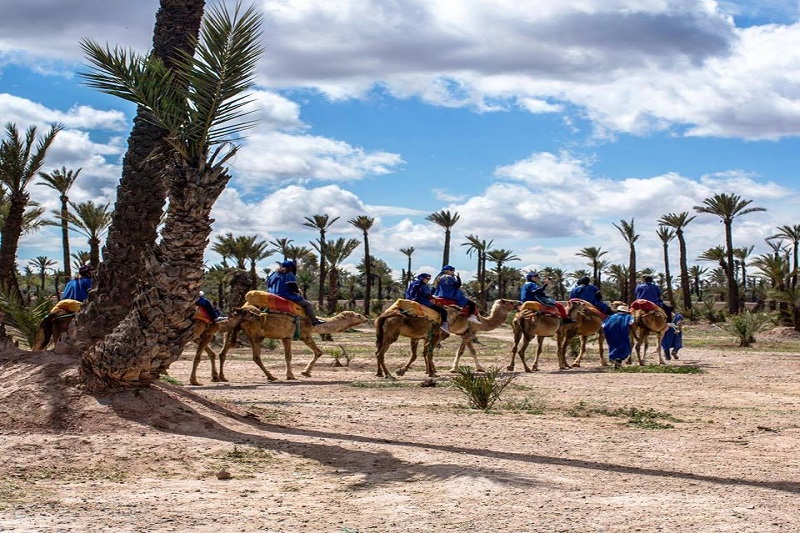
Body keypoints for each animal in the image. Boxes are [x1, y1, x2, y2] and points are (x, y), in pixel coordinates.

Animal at [209, 304, 366, 382]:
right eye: (358, 315)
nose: (366, 318)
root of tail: (239, 310)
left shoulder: (287, 337)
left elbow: (318, 352)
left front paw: (305, 372)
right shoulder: (299, 335)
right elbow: (290, 356)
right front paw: (293, 375)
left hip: (231, 330)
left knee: (223, 353)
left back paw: (222, 377)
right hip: (254, 334)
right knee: (256, 356)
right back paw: (271, 376)